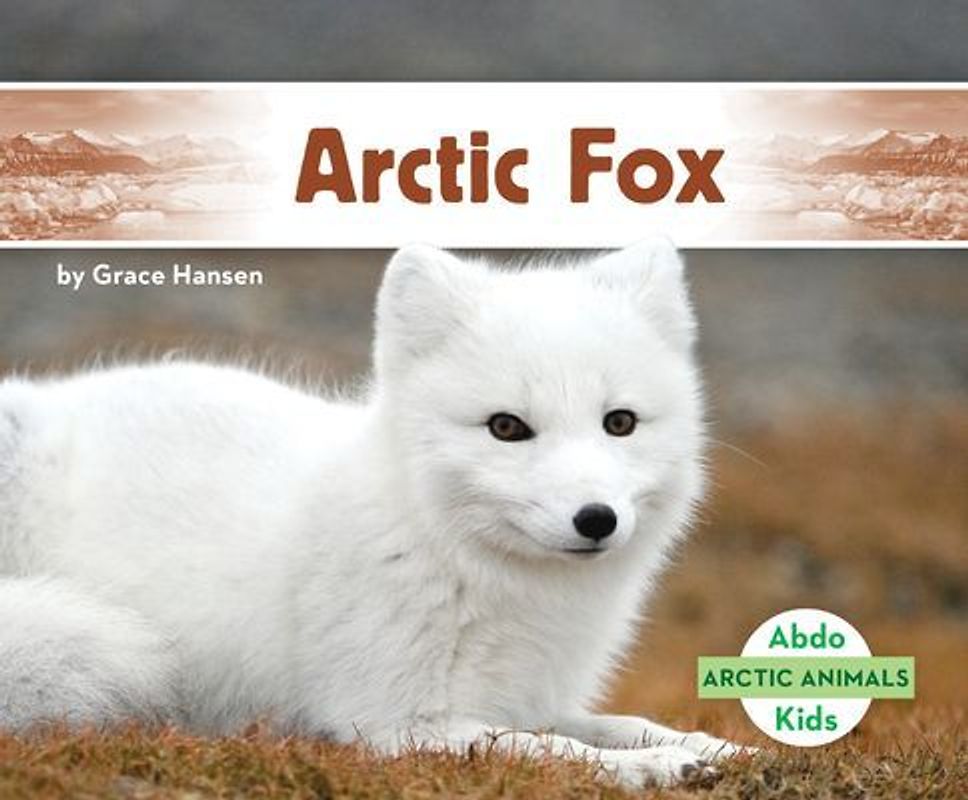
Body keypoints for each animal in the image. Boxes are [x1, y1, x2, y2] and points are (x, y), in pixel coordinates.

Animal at [0, 241, 746, 787]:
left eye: (619, 422)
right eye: (506, 427)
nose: (596, 519)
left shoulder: (529, 697)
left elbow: (608, 722)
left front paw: (706, 744)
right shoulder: (398, 722)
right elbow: (549, 751)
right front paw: (655, 766)